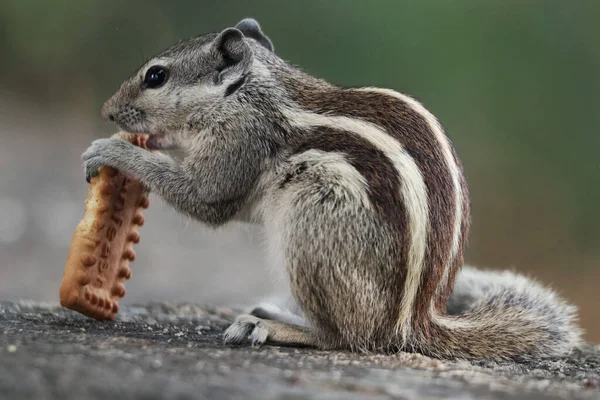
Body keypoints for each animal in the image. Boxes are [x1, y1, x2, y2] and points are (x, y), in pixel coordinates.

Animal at [84, 18, 580, 360]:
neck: (248, 94)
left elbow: (206, 197)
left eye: (156, 77)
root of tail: (410, 324)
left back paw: (275, 327)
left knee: (347, 338)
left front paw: (112, 150)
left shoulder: (238, 144)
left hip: (313, 223)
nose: (107, 111)